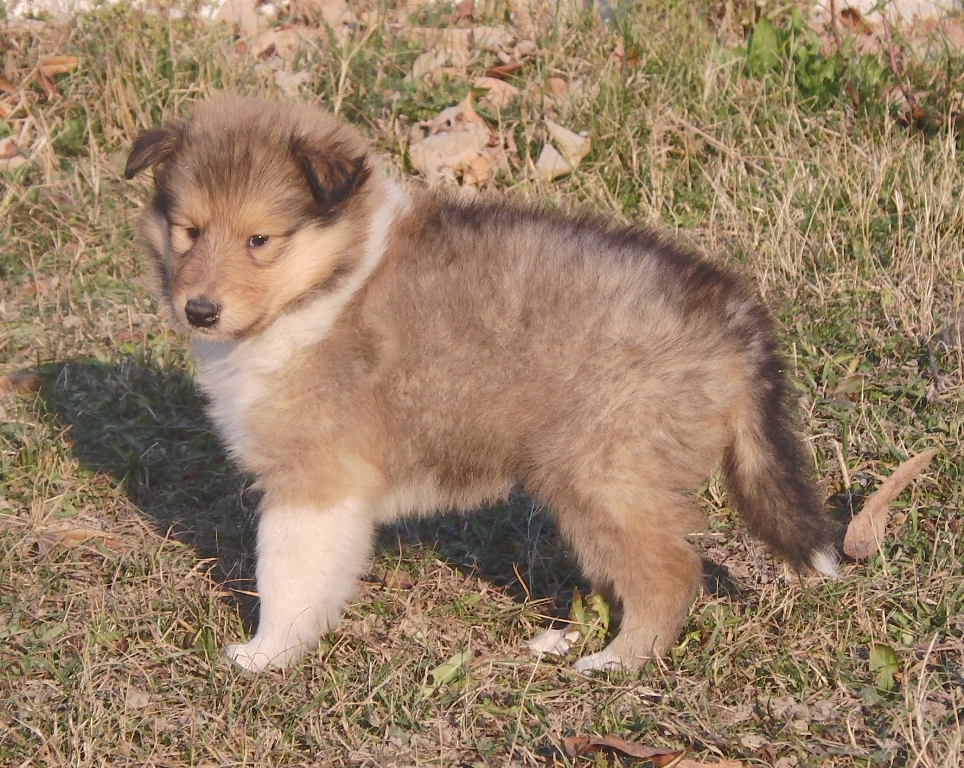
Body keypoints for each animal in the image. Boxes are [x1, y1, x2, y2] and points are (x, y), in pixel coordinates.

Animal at [126, 96, 836, 672]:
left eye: (259, 239)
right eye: (189, 230)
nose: (199, 311)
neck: (324, 283)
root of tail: (735, 319)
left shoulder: (314, 479)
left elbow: (287, 574)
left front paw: (263, 655)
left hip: (604, 471)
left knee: (669, 572)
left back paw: (615, 663)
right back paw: (564, 640)